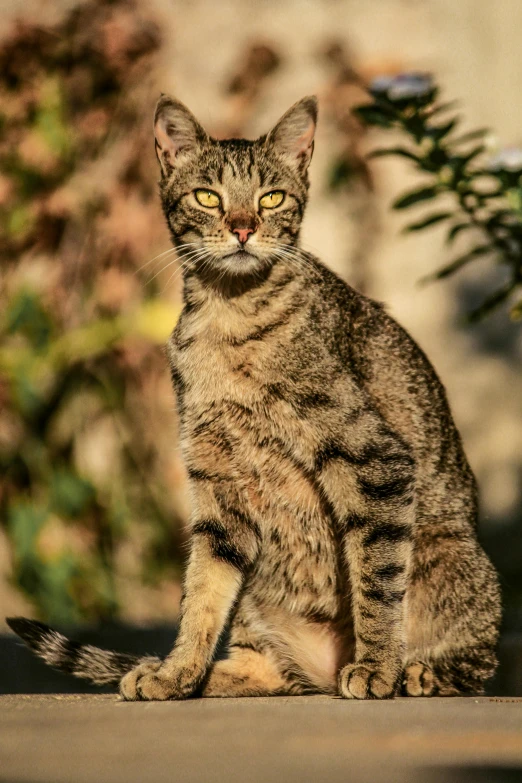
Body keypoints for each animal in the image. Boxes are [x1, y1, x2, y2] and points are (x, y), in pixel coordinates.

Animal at [5, 95, 500, 700]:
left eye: (271, 197)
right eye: (207, 196)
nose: (242, 227)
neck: (229, 315)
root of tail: (321, 672)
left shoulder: (377, 460)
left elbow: (377, 582)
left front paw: (378, 666)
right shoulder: (218, 484)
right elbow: (201, 593)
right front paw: (176, 671)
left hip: (446, 552)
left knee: (476, 658)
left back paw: (417, 671)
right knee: (263, 666)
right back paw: (191, 674)